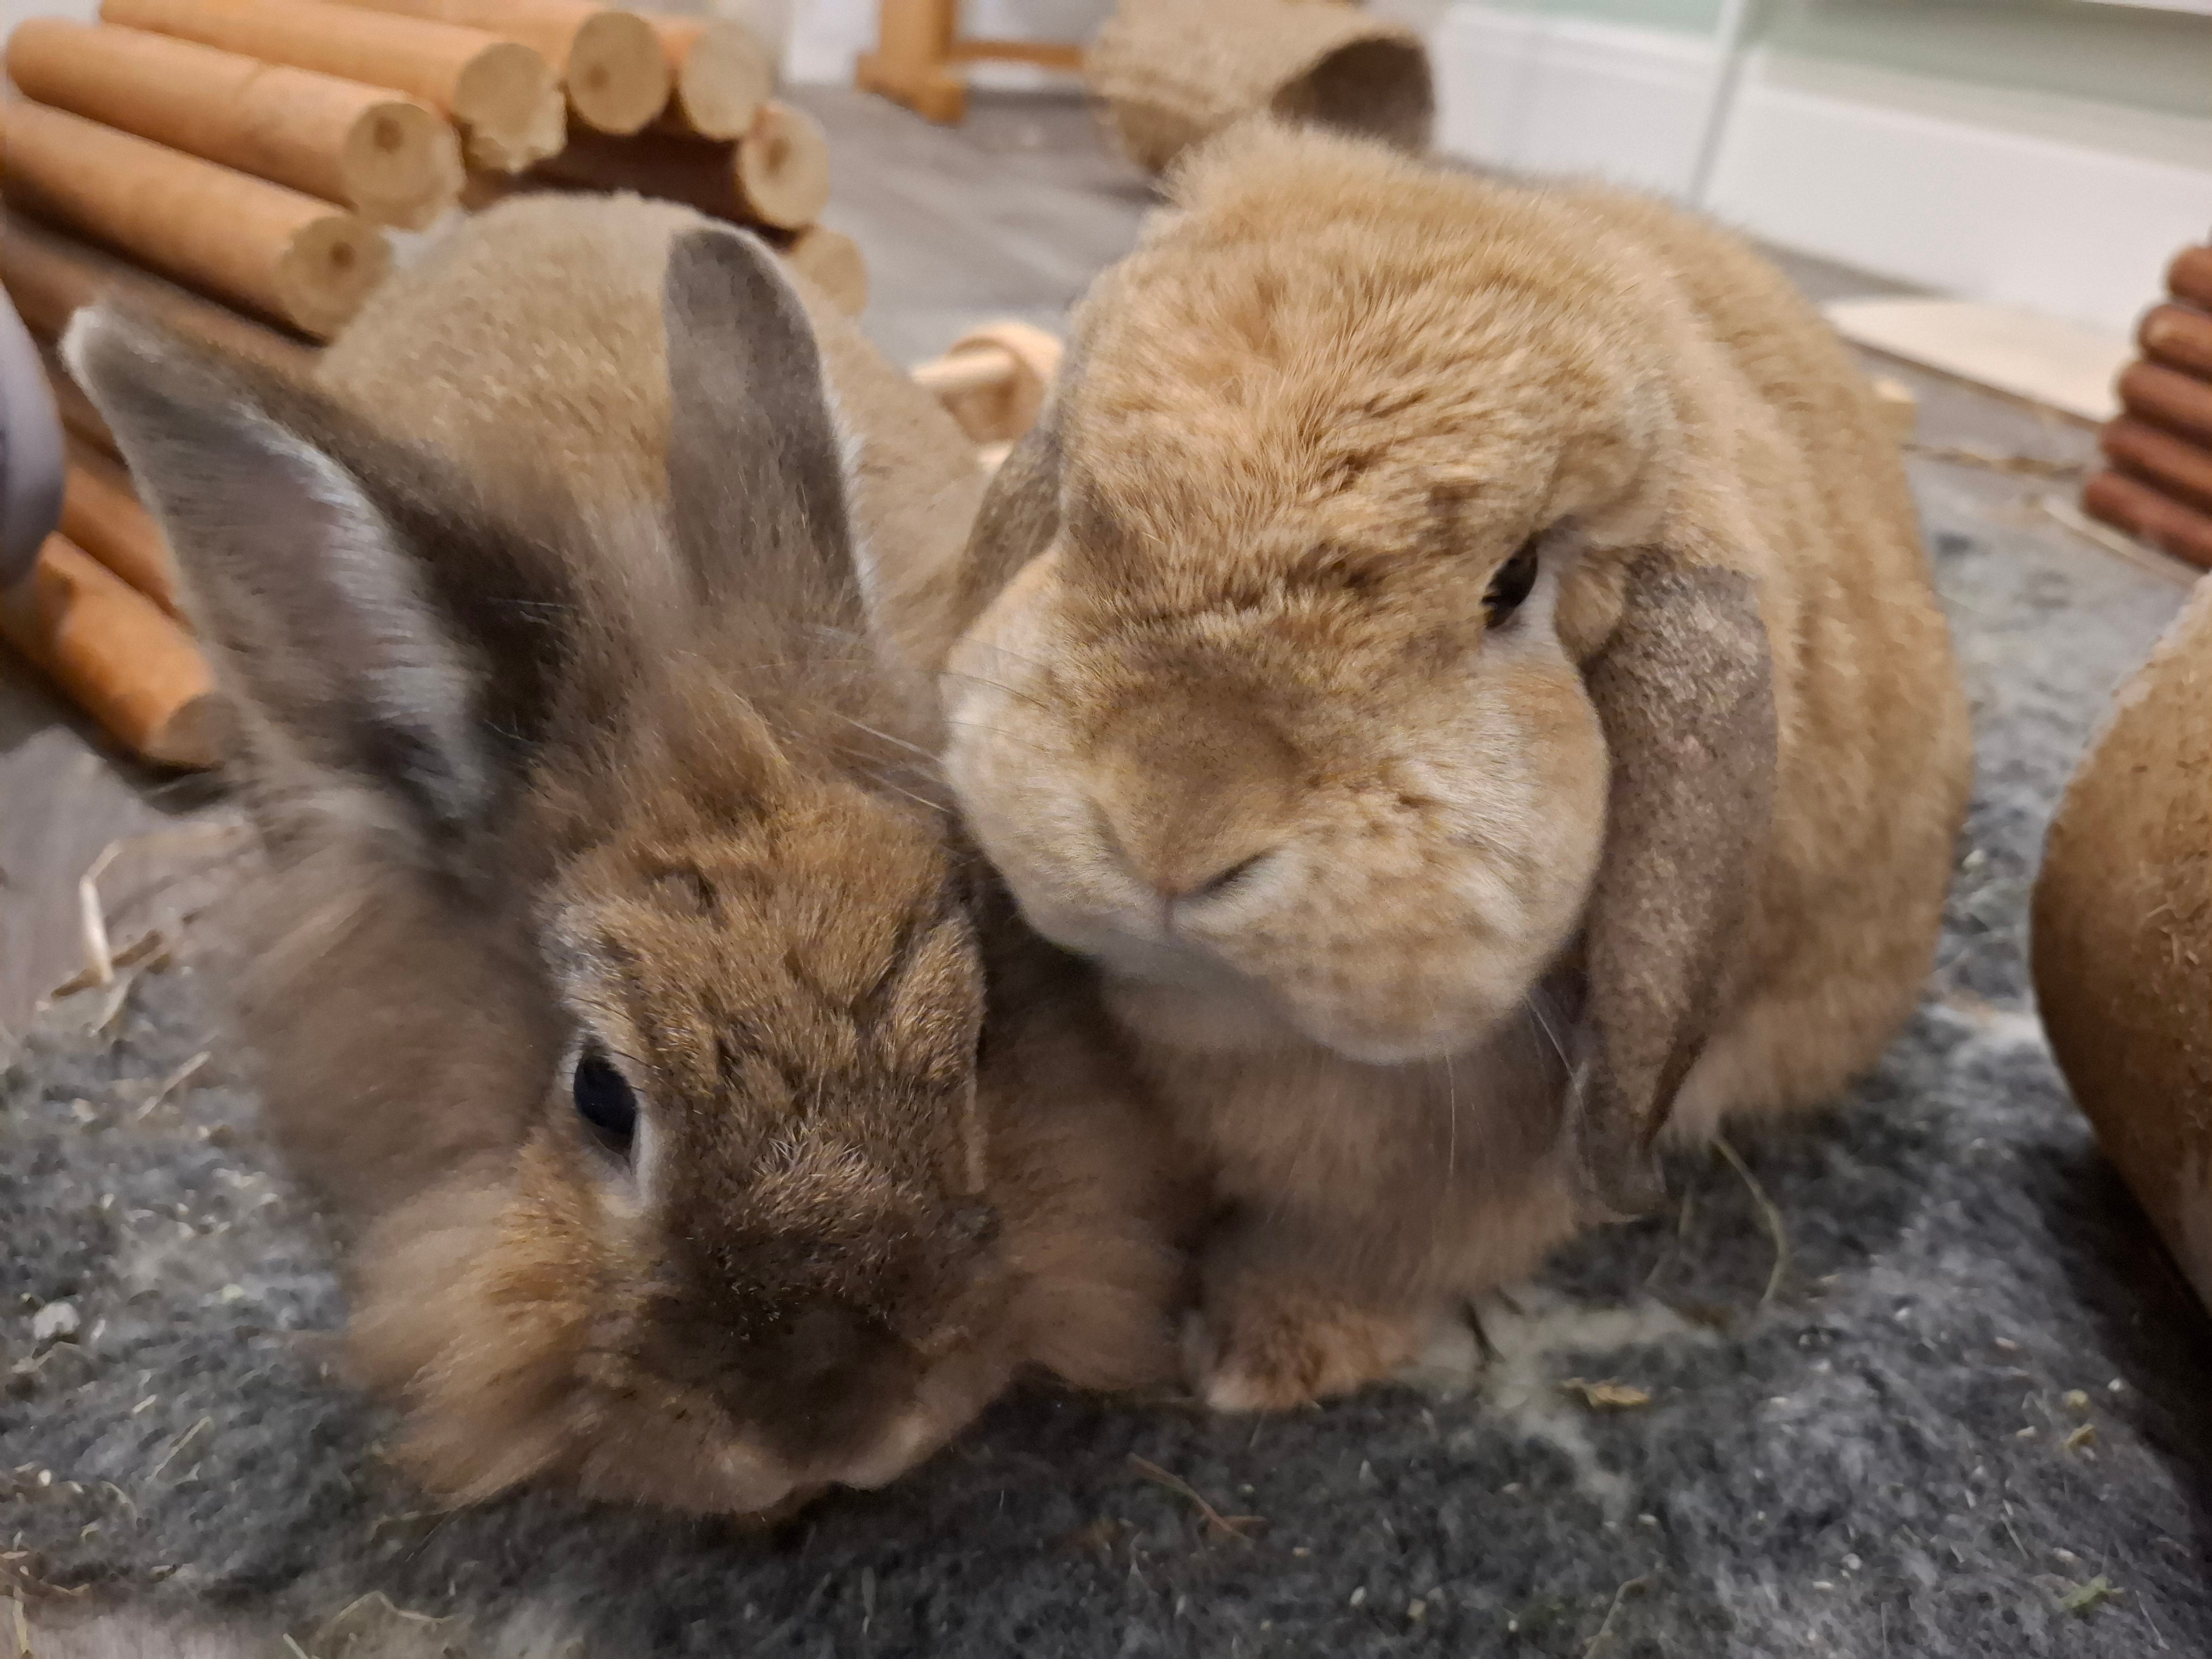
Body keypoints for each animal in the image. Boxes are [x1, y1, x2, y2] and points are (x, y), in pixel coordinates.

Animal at [861, 119, 1974, 1411]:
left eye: (1514, 582)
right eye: (1083, 511)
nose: (1172, 823)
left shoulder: (1478, 1190)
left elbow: (1378, 1260)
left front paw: (1259, 1360)